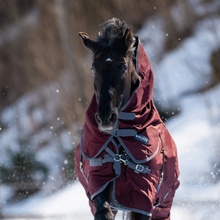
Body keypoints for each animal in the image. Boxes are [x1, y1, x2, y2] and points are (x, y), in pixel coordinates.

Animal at [75, 17, 180, 220]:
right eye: (93, 68)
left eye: (123, 66)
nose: (105, 118)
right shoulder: (99, 185)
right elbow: (103, 210)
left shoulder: (141, 197)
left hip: (162, 206)